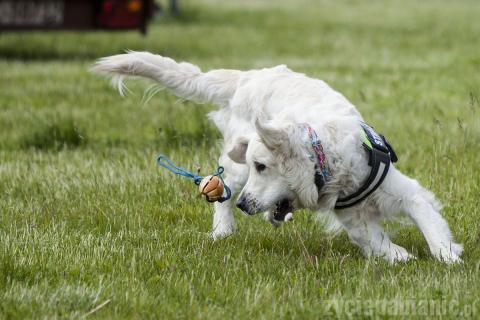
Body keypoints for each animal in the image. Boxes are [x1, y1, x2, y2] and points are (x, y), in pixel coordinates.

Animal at [92, 52, 464, 262]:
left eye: (264, 166)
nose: (247, 206)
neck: (326, 160)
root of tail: (249, 76)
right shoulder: (353, 218)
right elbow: (375, 239)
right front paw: (399, 256)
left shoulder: (404, 193)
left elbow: (430, 225)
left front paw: (448, 257)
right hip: (235, 169)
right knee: (221, 194)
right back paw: (223, 231)